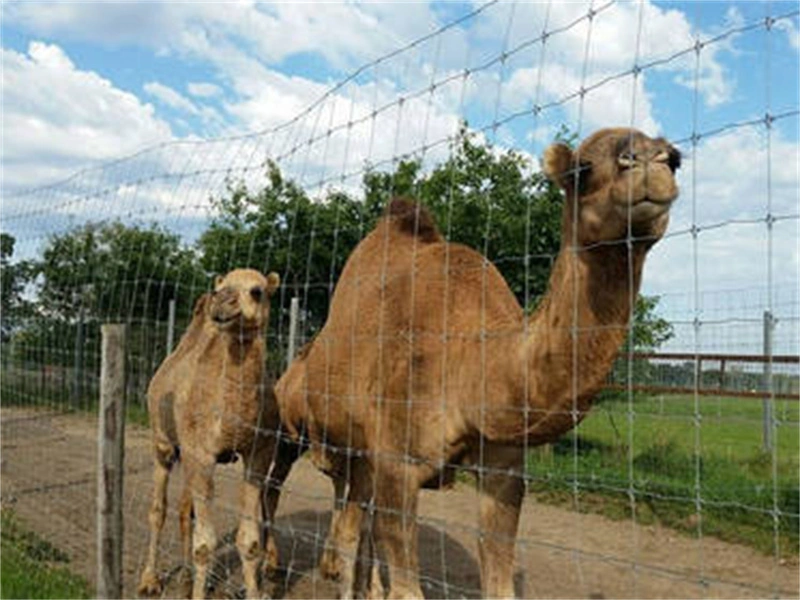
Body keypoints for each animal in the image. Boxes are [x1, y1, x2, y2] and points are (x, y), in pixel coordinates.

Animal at [140, 270, 282, 596]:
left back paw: (185, 577)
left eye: (256, 291)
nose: (221, 300)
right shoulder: (202, 454)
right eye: (221, 286)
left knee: (184, 511)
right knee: (158, 509)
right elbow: (205, 543)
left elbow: (249, 541)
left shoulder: (258, 453)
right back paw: (150, 580)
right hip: (163, 444)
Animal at [276, 126, 680, 596]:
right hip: (324, 439)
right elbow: (405, 584)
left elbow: (499, 580)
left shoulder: (503, 468)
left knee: (354, 522)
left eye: (676, 158)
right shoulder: (397, 462)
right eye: (581, 168)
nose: (650, 161)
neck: (469, 360)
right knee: (343, 522)